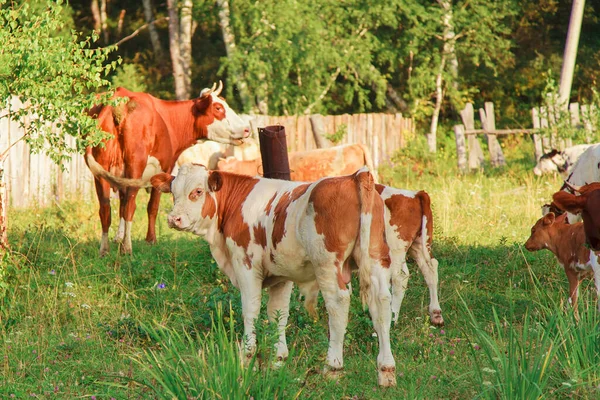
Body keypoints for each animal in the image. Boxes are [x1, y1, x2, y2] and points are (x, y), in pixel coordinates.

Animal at [84, 81, 248, 256]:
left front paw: (118, 237)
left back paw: (104, 250)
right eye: (218, 108)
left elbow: (121, 205)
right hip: (135, 167)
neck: (169, 120)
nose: (247, 129)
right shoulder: (163, 169)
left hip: (101, 172)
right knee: (130, 206)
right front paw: (150, 240)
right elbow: (152, 207)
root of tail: (117, 98)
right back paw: (127, 247)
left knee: (105, 209)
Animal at [152, 164, 398, 386]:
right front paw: (278, 360)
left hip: (327, 264)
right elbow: (278, 313)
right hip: (377, 258)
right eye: (173, 192)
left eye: (197, 191)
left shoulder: (246, 265)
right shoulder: (281, 275)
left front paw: (247, 357)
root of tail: (355, 175)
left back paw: (333, 366)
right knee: (382, 303)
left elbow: (250, 309)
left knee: (338, 304)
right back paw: (386, 370)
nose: (173, 219)